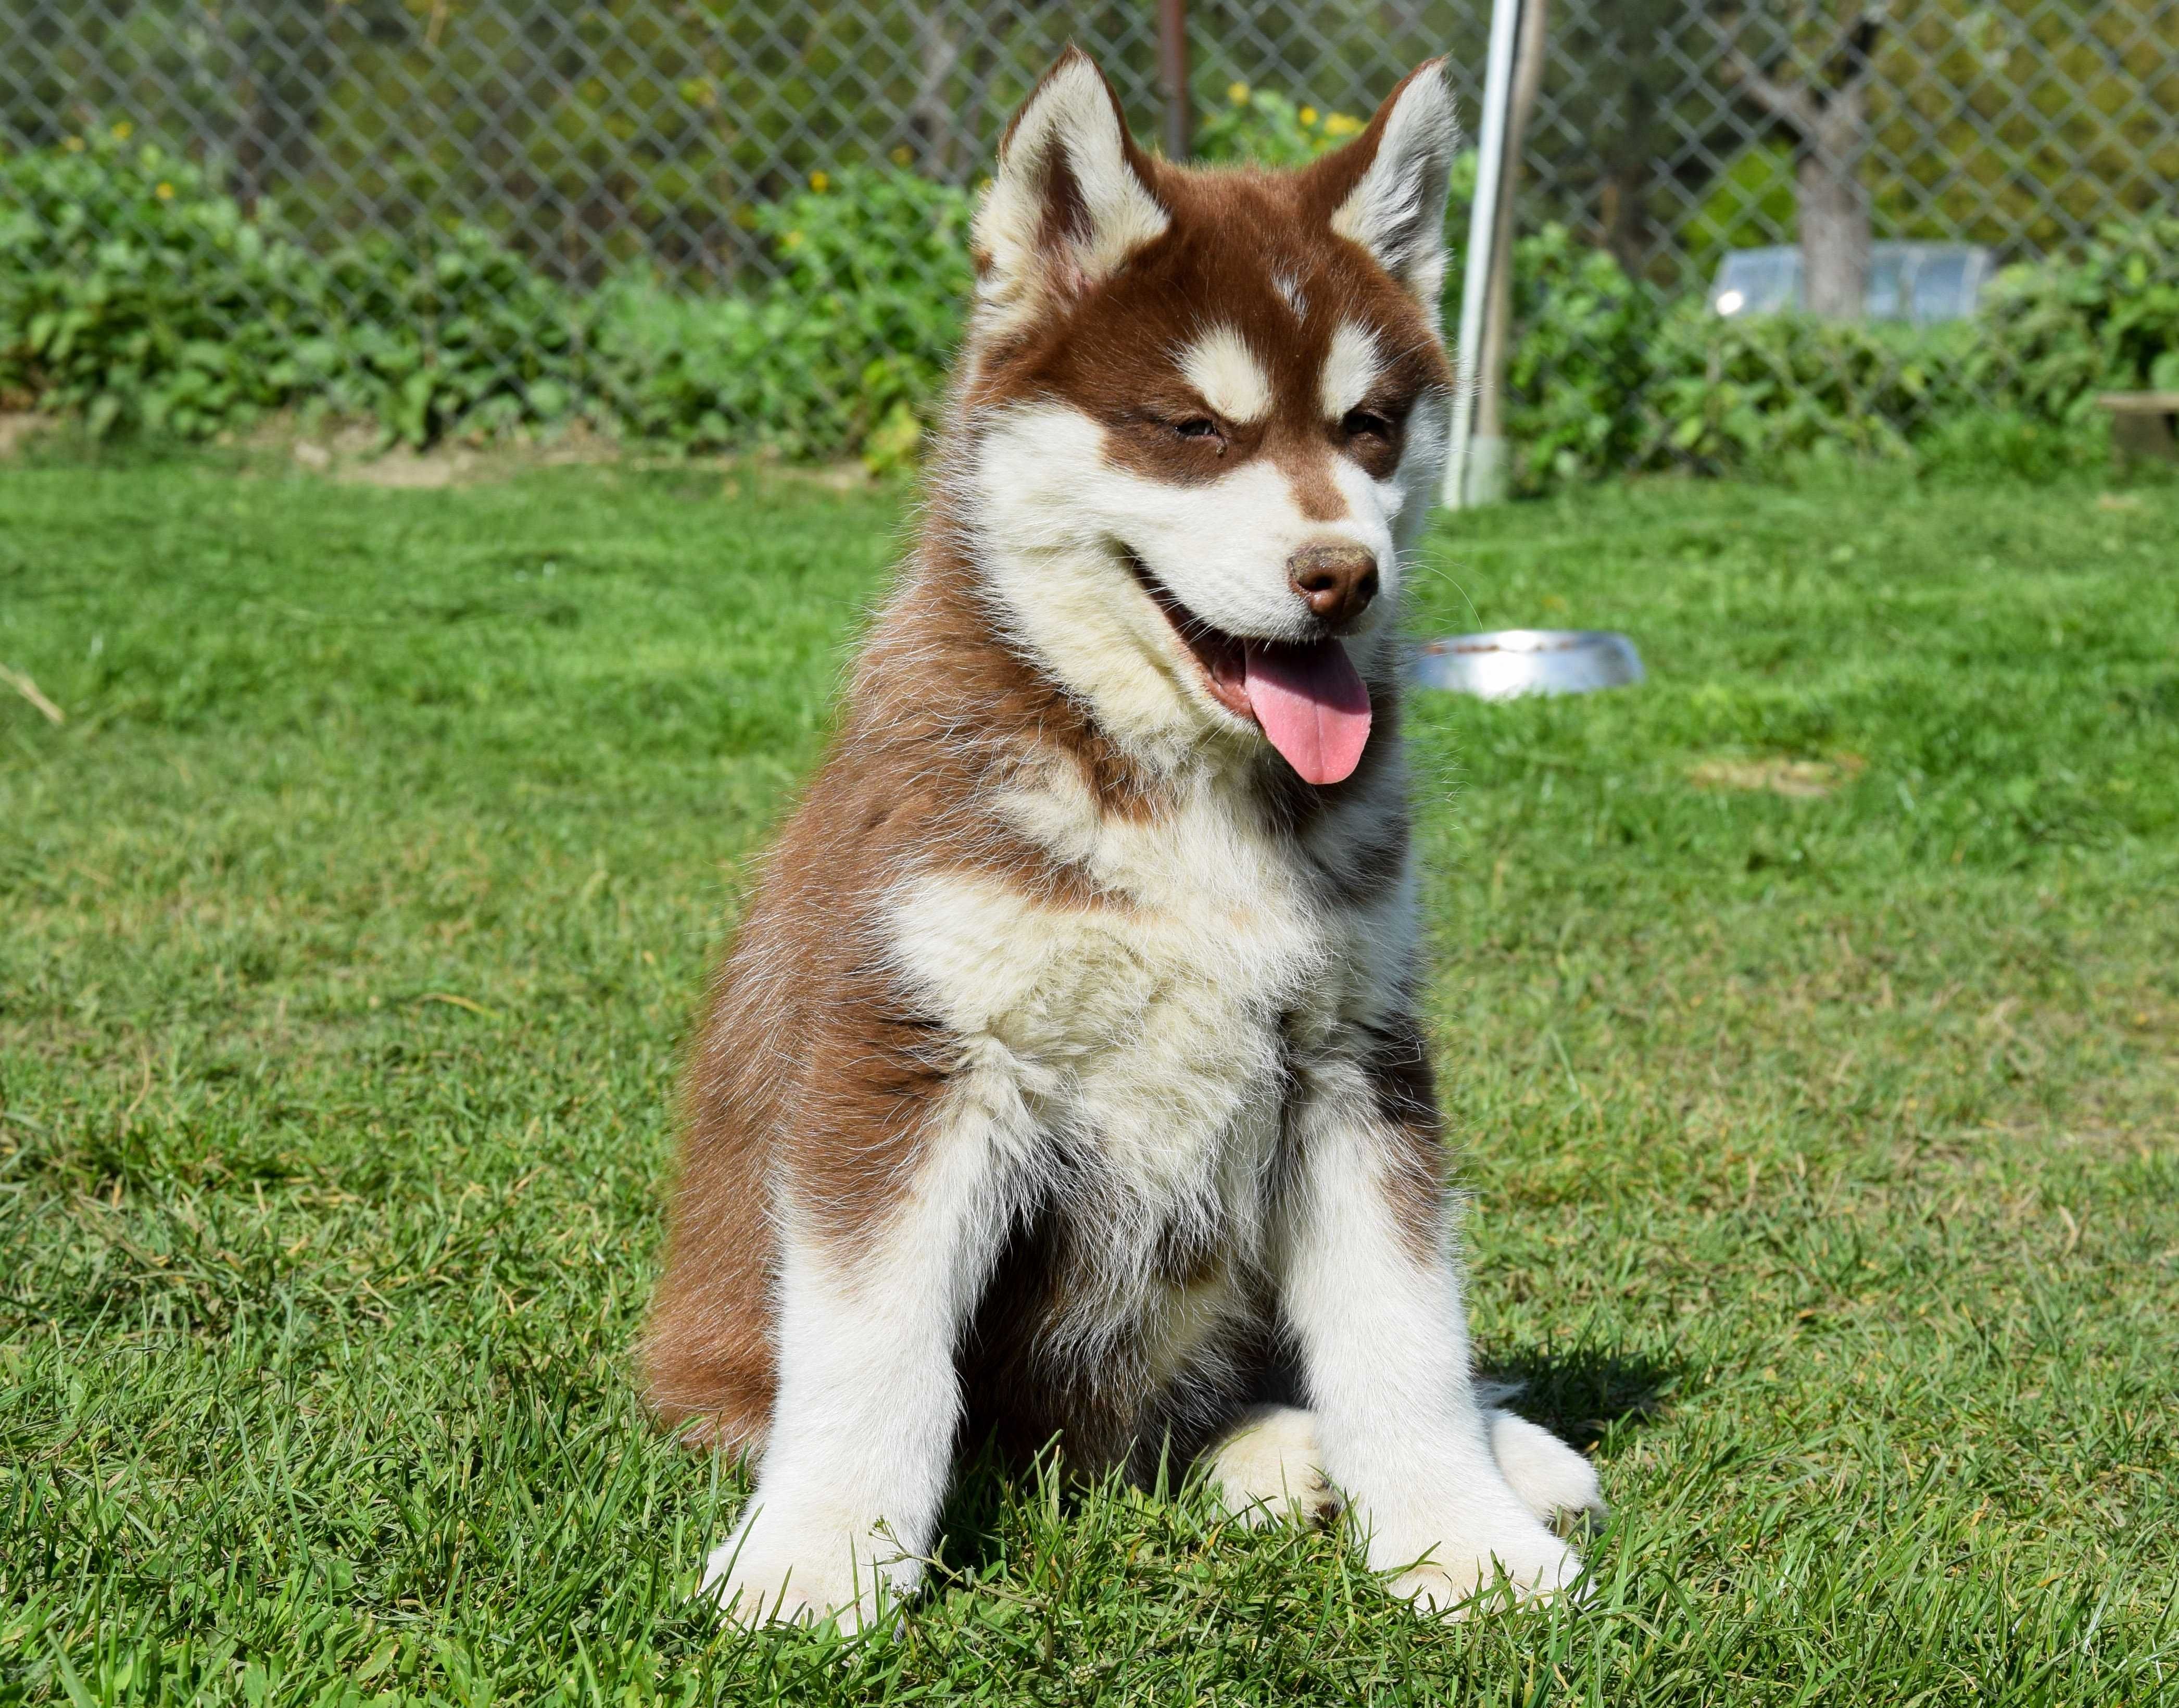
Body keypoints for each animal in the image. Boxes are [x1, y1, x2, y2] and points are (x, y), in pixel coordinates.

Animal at [636, 50, 1612, 1629]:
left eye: (1370, 428)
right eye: (1194, 429)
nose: (1344, 575)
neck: (1173, 789)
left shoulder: (1356, 1060)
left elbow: (1404, 1330)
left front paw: (1461, 1537)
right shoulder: (910, 1056)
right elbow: (874, 1349)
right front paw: (818, 1555)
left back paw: (1465, 1448)